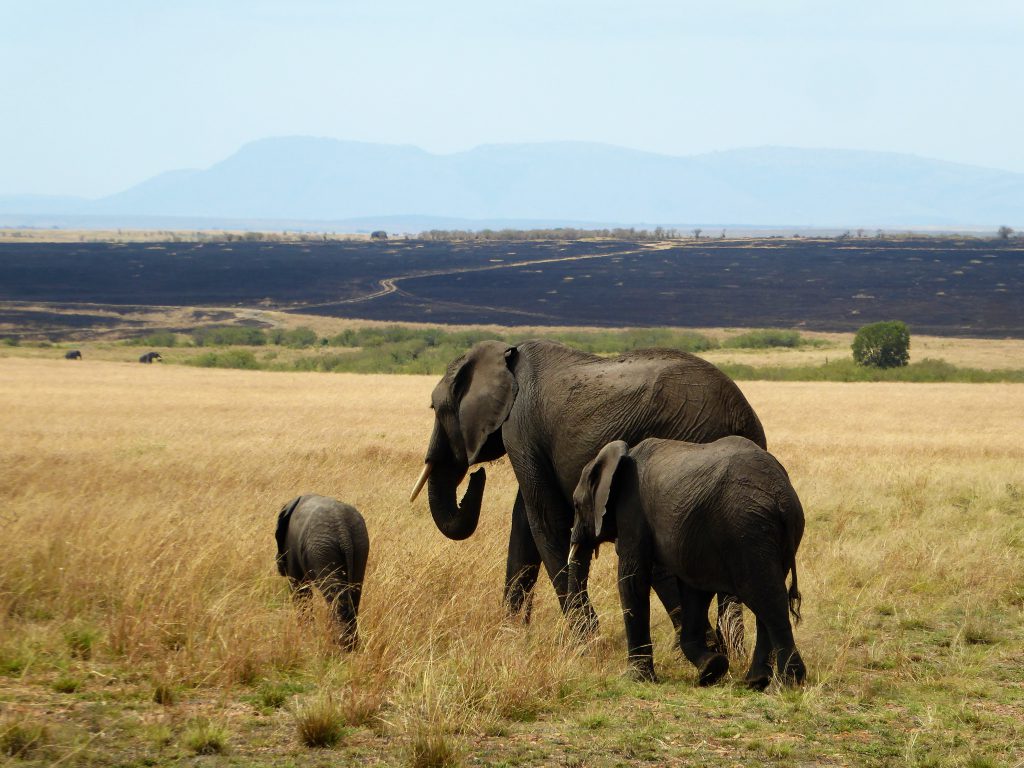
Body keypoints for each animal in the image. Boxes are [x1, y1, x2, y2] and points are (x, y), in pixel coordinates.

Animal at [274, 495, 370, 651]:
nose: (278, 564)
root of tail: (343, 531)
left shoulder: (291, 549)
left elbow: (301, 590)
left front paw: (305, 638)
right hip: (359, 545)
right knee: (354, 595)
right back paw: (352, 647)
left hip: (322, 551)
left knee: (336, 598)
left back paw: (342, 648)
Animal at [411, 339, 765, 638]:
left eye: (434, 409)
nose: (477, 476)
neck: (505, 355)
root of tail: (741, 417)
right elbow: (524, 524)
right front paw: (509, 635)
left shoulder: (522, 428)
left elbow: (546, 520)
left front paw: (585, 640)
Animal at [569, 438, 806, 692]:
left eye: (576, 505)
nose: (584, 650)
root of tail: (781, 498)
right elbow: (694, 591)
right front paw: (711, 669)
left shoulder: (632, 511)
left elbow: (632, 579)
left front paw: (634, 679)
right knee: (767, 597)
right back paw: (756, 681)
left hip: (748, 530)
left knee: (766, 598)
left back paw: (787, 683)